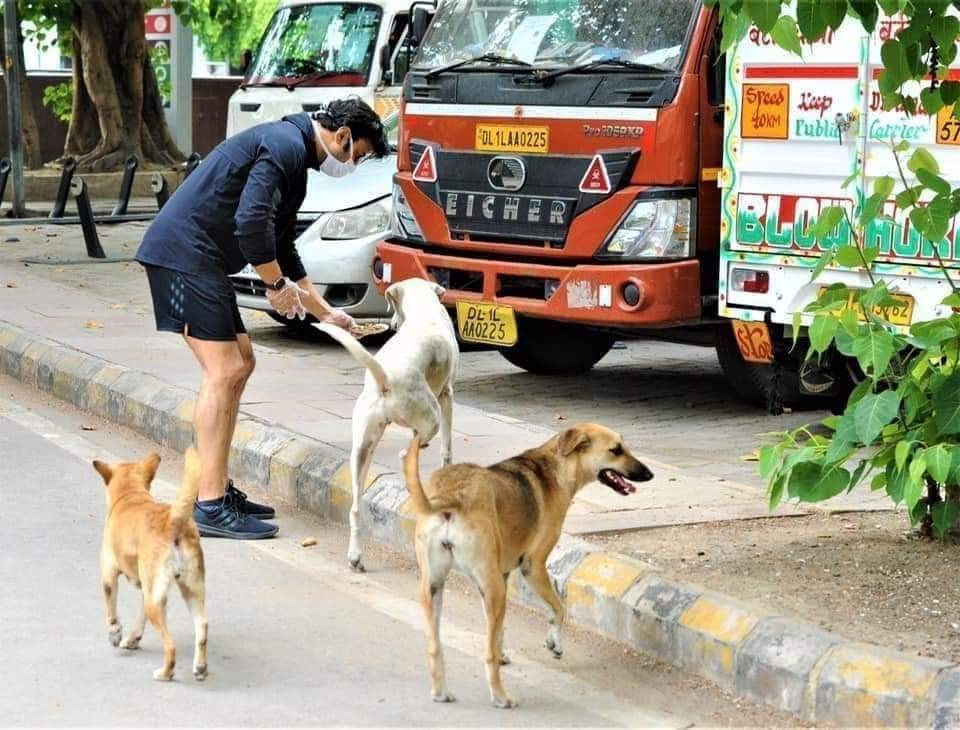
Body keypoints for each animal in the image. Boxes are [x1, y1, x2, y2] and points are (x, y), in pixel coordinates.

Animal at [94, 446, 207, 680]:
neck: (130, 496)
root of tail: (172, 522)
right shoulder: (145, 590)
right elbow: (139, 619)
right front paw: (131, 639)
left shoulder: (109, 575)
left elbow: (111, 612)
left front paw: (115, 633)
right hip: (190, 591)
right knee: (202, 627)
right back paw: (200, 667)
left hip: (156, 604)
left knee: (170, 646)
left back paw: (165, 673)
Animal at [316, 274, 460, 568]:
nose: (392, 325)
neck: (423, 308)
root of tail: (385, 379)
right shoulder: (447, 396)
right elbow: (447, 448)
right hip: (431, 415)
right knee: (410, 451)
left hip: (362, 449)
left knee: (355, 508)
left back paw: (355, 555)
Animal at [402, 420, 656, 704]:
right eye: (616, 450)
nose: (649, 474)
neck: (557, 465)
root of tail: (454, 495)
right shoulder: (533, 566)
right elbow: (557, 608)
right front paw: (554, 643)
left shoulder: (501, 575)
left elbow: (498, 632)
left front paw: (505, 652)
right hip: (493, 590)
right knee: (486, 655)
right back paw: (500, 697)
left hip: (434, 588)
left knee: (435, 648)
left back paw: (440, 692)